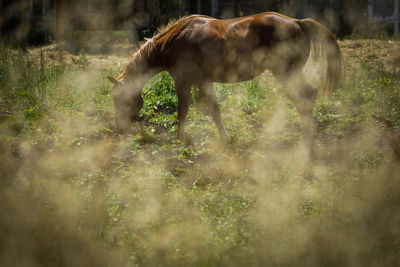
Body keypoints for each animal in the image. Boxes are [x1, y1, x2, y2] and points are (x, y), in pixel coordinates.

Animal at [108, 12, 342, 144]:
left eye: (119, 98)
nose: (119, 129)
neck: (176, 37)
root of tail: (297, 22)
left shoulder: (182, 81)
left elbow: (182, 110)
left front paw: (180, 138)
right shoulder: (204, 82)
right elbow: (214, 110)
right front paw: (225, 139)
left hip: (286, 74)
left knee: (305, 97)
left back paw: (307, 139)